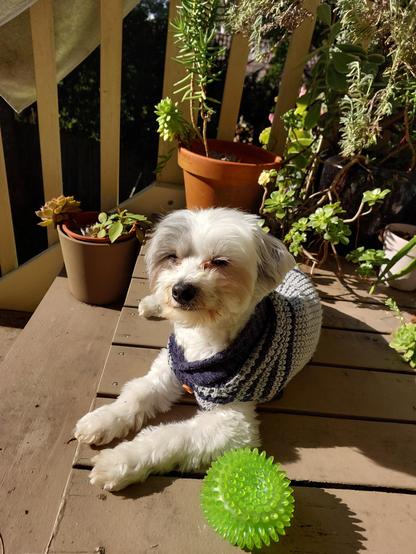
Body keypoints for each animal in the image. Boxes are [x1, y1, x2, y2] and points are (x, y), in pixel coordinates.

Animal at [75, 209, 322, 490]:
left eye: (220, 262)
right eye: (172, 257)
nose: (181, 289)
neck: (201, 336)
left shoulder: (234, 422)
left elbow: (171, 436)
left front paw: (118, 461)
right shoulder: (169, 367)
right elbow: (137, 393)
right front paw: (102, 419)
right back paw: (152, 304)